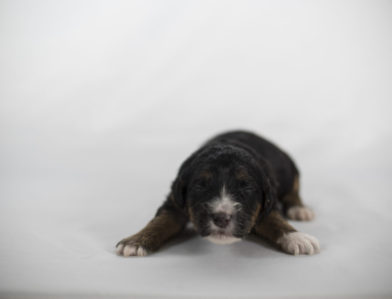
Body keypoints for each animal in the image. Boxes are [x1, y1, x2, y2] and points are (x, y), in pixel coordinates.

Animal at [115, 131, 318, 258]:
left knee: (294, 189)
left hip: (289, 169)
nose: (221, 218)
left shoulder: (267, 202)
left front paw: (297, 238)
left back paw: (299, 209)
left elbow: (274, 220)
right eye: (200, 186)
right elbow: (160, 221)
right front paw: (135, 242)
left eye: (246, 187)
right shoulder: (174, 201)